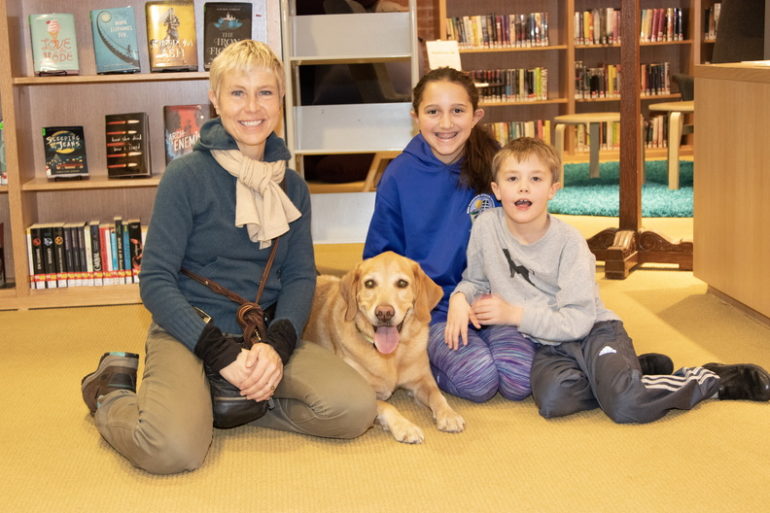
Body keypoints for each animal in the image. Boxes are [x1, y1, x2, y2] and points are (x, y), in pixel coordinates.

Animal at [304, 250, 462, 442]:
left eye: (402, 283)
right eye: (369, 283)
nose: (384, 313)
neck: (390, 357)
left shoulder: (421, 380)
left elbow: (437, 394)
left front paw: (449, 415)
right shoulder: (369, 394)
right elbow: (387, 406)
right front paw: (405, 426)